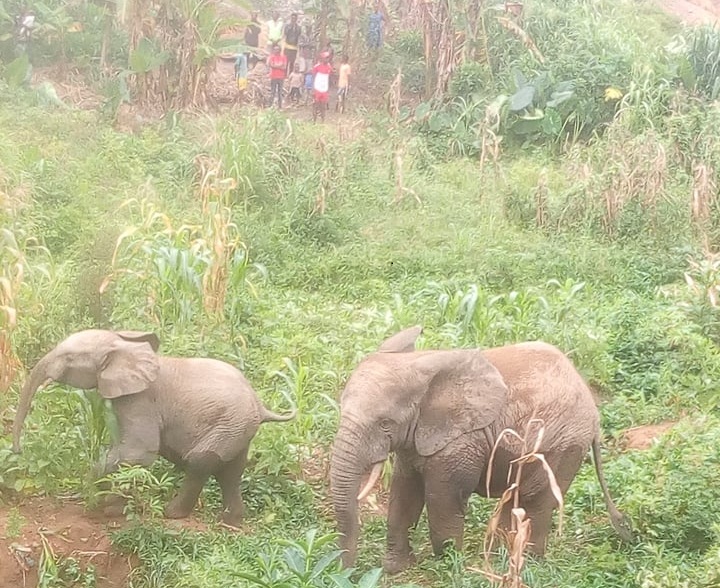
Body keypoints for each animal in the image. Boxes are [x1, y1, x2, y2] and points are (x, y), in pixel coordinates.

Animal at [11, 328, 294, 524]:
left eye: (68, 358)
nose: (17, 451)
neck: (124, 346)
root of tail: (260, 406)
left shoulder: (139, 399)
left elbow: (139, 451)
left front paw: (97, 503)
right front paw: (110, 506)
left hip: (230, 423)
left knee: (201, 461)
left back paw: (173, 514)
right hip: (238, 428)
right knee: (231, 472)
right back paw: (231, 522)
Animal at [330, 324, 632, 572]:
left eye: (384, 424)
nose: (347, 572)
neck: (421, 364)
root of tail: (593, 411)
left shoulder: (461, 441)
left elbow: (442, 498)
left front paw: (449, 568)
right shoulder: (417, 438)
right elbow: (404, 492)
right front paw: (395, 568)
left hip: (564, 444)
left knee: (536, 499)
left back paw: (523, 564)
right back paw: (501, 560)